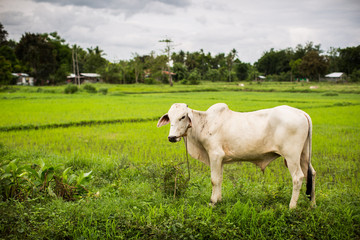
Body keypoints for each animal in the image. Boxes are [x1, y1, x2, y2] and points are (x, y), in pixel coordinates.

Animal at [158, 103, 316, 208]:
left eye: (182, 116)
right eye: (170, 117)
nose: (172, 137)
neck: (205, 123)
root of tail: (302, 113)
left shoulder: (215, 155)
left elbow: (214, 180)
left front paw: (212, 202)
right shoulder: (220, 160)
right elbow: (220, 179)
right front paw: (219, 199)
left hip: (291, 157)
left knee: (298, 178)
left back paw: (292, 206)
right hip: (304, 155)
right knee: (312, 174)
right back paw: (312, 204)